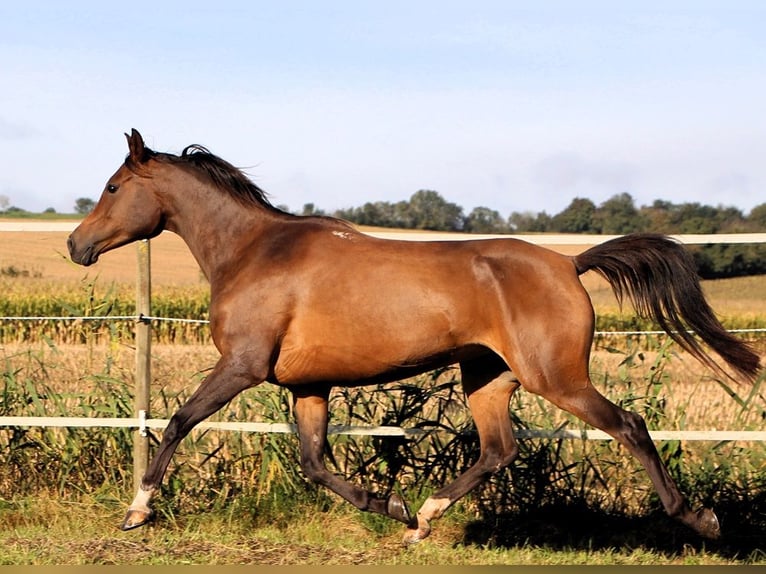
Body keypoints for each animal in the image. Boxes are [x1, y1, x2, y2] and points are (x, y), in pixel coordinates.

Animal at [67, 129, 760, 544]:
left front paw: (137, 510)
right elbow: (315, 464)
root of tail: (569, 264)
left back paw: (700, 519)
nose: (76, 245)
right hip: (487, 377)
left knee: (630, 427)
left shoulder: (243, 364)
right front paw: (393, 505)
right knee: (499, 449)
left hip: (557, 377)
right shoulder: (309, 385)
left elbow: (179, 421)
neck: (253, 251)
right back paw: (423, 519)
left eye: (112, 186)